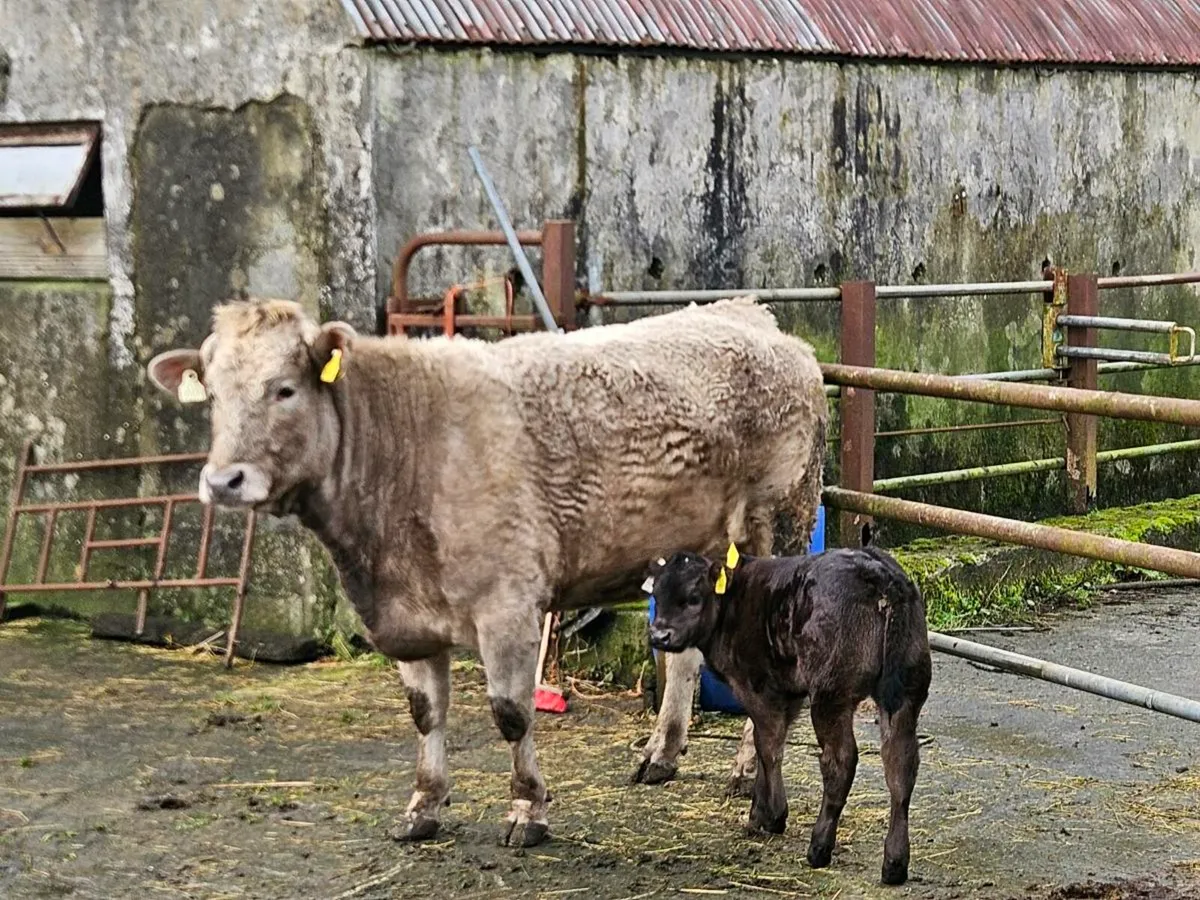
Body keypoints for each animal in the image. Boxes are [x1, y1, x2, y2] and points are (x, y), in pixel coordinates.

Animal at [146, 295, 827, 847]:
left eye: (284, 389)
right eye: (211, 392)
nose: (222, 481)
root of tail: (753, 314)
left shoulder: (508, 605)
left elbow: (511, 712)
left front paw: (528, 811)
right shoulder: (408, 617)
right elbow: (425, 714)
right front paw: (422, 806)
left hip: (779, 523)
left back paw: (746, 770)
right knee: (685, 653)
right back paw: (661, 753)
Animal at [645, 546, 932, 885]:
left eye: (692, 597)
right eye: (657, 595)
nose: (659, 636)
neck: (734, 598)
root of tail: (881, 574)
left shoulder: (757, 687)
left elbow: (768, 747)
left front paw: (771, 816)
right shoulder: (790, 692)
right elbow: (765, 744)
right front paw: (759, 810)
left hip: (830, 693)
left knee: (840, 762)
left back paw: (819, 847)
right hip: (906, 690)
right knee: (901, 765)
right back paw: (895, 864)